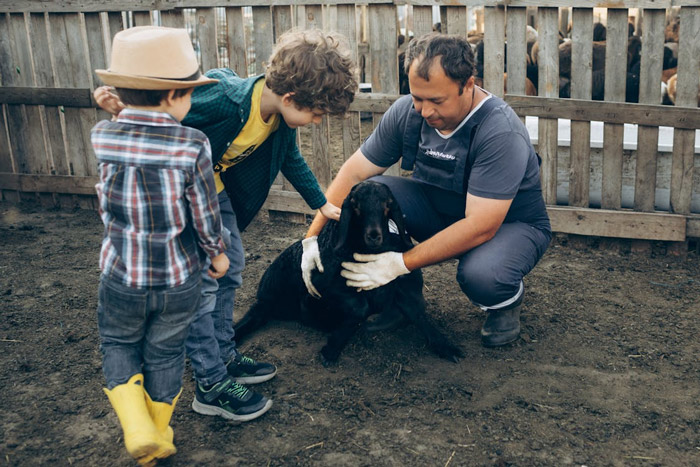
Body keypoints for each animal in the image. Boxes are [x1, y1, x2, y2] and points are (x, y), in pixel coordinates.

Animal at [237, 181, 464, 364]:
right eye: (355, 206)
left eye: (387, 205)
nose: (374, 235)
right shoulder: (324, 286)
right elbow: (360, 307)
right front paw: (331, 349)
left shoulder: (405, 289)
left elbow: (418, 314)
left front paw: (446, 347)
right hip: (270, 300)